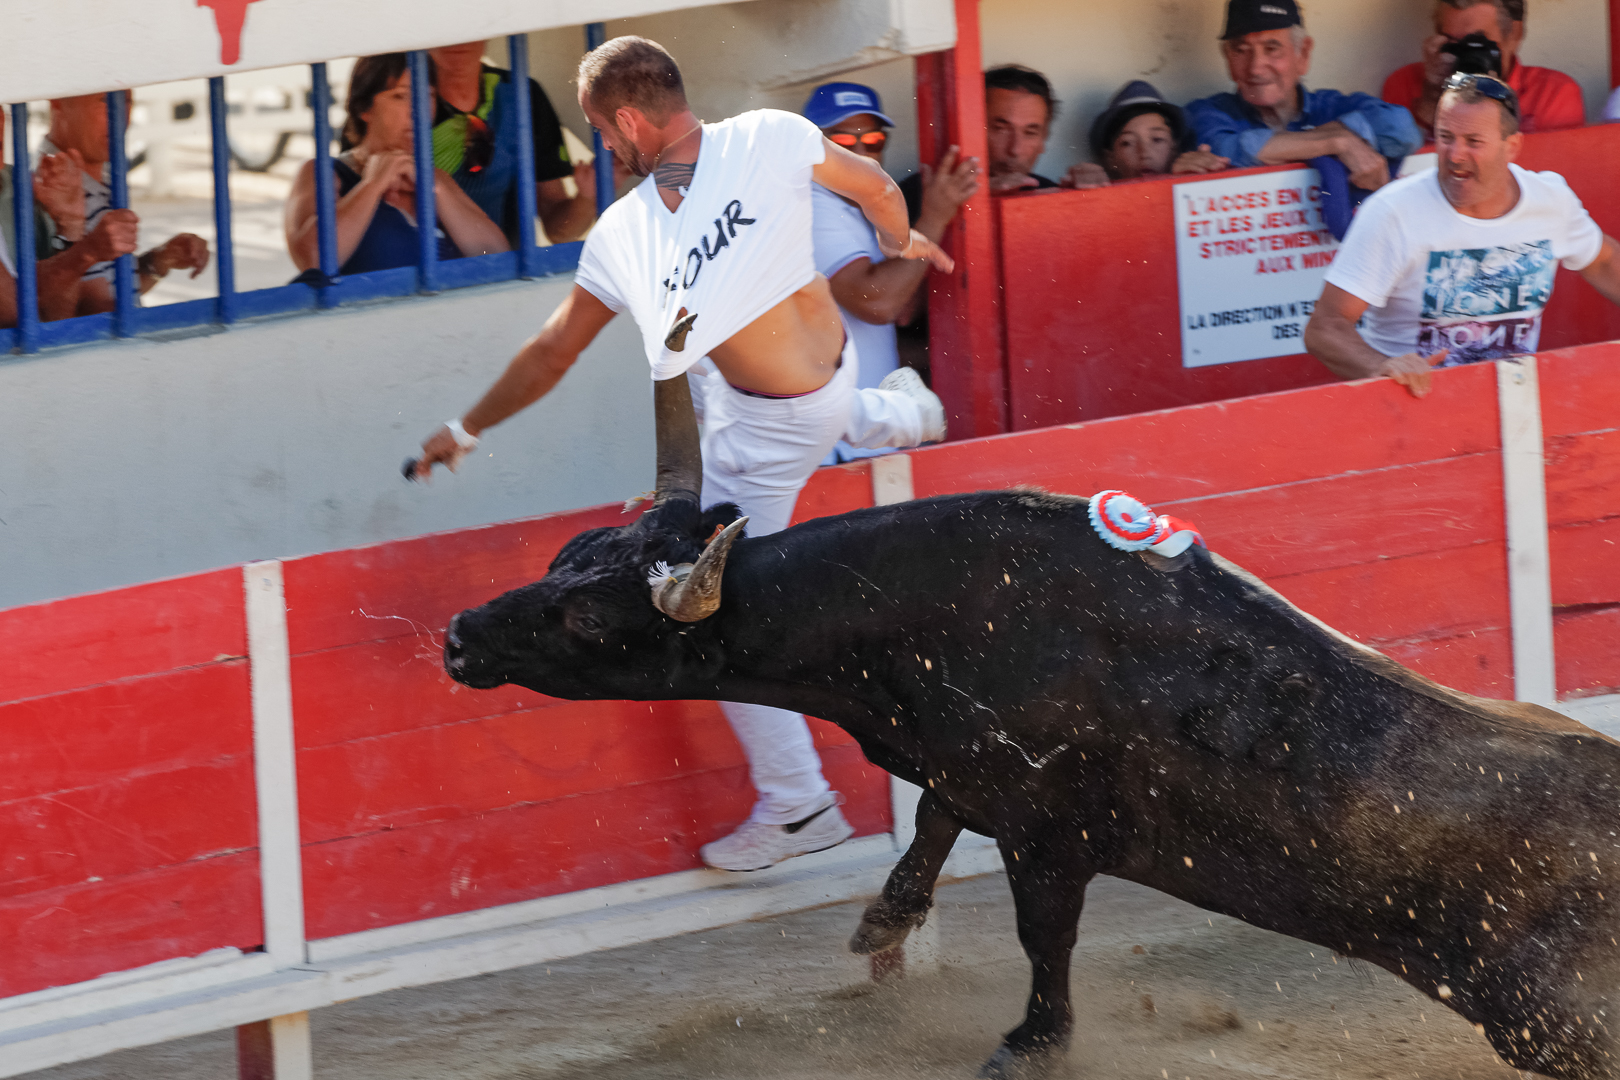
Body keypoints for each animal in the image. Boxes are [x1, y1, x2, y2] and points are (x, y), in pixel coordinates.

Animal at [440, 482, 1620, 1080]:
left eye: (586, 617)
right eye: (566, 555)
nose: (456, 635)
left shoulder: (1049, 835)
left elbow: (1040, 935)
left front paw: (1029, 1045)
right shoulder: (973, 775)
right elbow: (928, 822)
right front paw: (880, 925)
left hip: (1536, 1013)